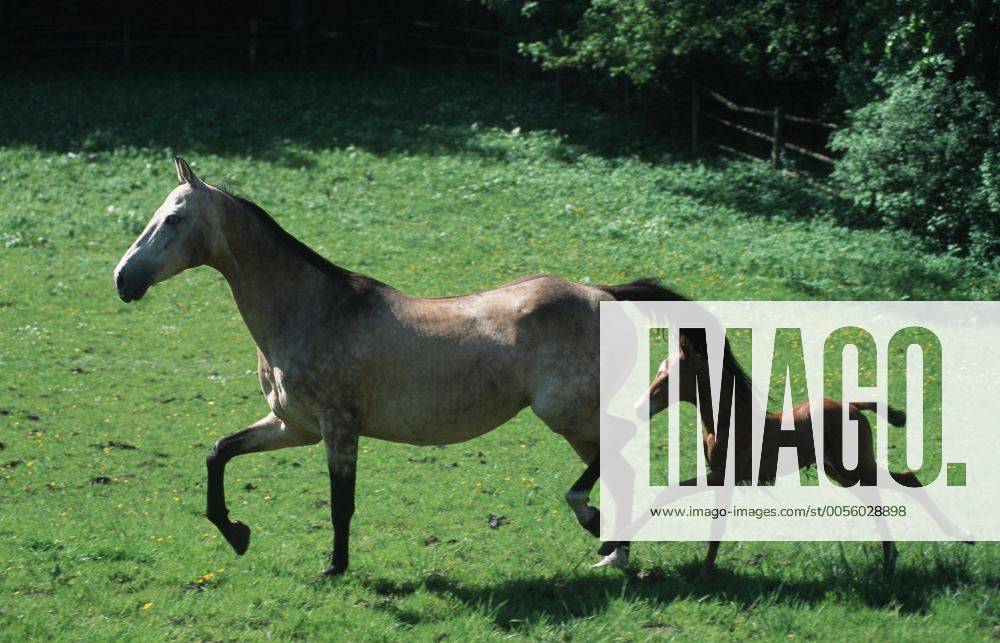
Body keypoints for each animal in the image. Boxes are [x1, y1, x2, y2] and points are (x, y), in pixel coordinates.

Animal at [113, 157, 747, 575]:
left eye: (173, 219)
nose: (123, 280)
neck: (313, 310)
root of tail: (601, 292)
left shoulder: (338, 431)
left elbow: (341, 504)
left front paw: (334, 568)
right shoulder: (293, 426)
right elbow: (218, 452)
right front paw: (237, 534)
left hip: (567, 412)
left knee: (616, 462)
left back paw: (596, 527)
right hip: (575, 418)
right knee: (620, 468)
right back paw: (612, 550)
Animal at [642, 333, 921, 581]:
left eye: (668, 376)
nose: (642, 407)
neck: (729, 421)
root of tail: (852, 406)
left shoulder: (724, 476)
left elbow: (684, 504)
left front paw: (702, 575)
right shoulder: (723, 478)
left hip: (855, 468)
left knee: (908, 479)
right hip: (843, 474)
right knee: (882, 498)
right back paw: (889, 562)